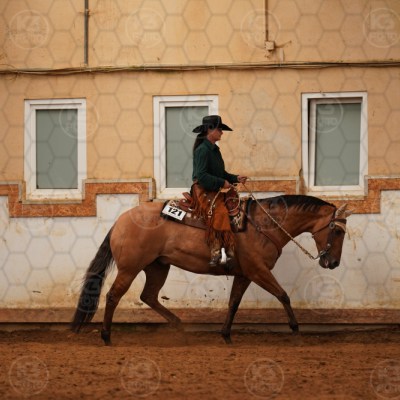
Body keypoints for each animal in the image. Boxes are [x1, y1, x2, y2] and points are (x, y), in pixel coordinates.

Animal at [71, 194, 351, 345]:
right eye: (337, 231)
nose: (333, 263)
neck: (262, 225)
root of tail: (120, 221)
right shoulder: (258, 271)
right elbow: (283, 295)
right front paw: (295, 330)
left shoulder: (244, 274)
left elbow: (233, 303)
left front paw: (226, 335)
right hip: (130, 268)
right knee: (113, 296)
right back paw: (106, 336)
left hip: (158, 267)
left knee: (148, 296)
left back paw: (180, 326)